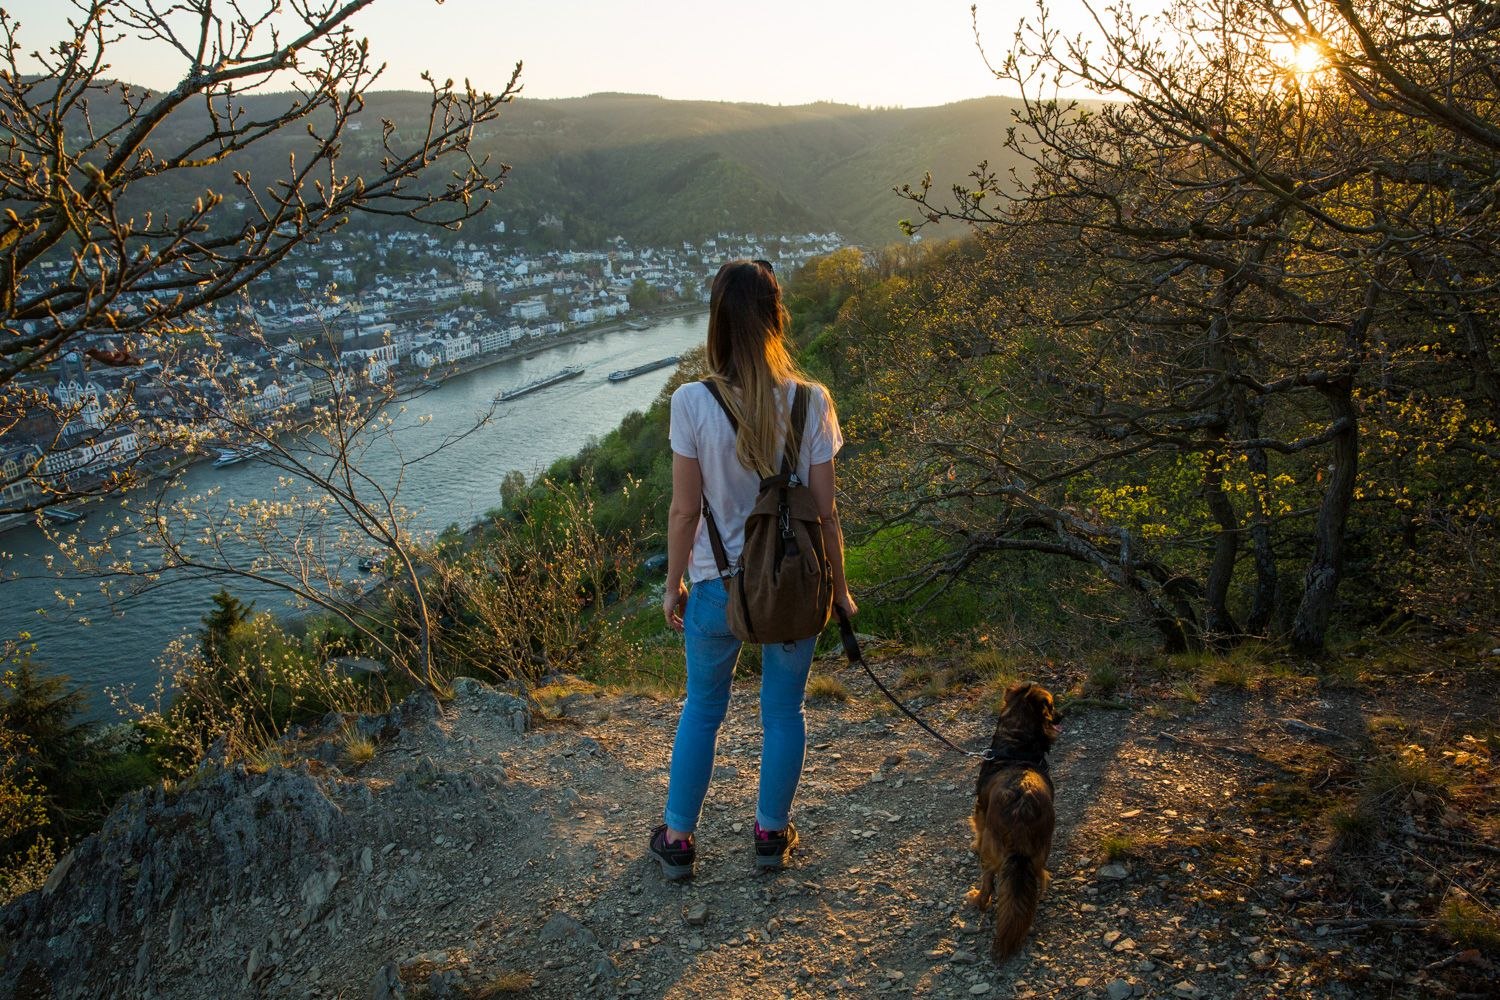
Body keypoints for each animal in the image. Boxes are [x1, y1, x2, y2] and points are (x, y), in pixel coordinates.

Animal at [966, 683, 1062, 959]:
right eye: (1052, 705)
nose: (1062, 716)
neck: (1017, 747)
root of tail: (1022, 815)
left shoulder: (980, 810)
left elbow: (977, 829)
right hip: (1039, 854)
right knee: (1041, 878)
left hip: (991, 854)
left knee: (988, 887)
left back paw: (976, 898)